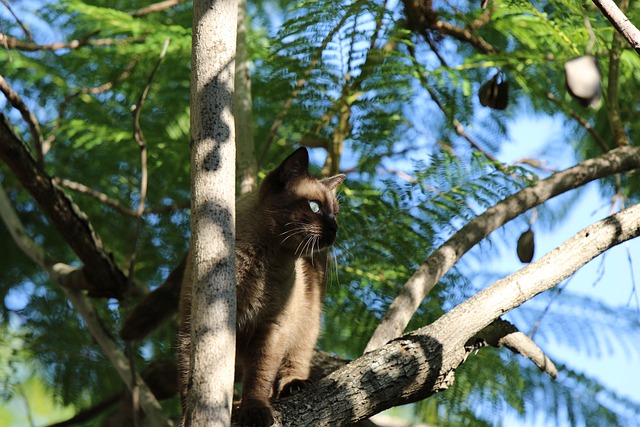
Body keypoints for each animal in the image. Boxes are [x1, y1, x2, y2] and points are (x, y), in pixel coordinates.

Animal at [122, 148, 348, 427]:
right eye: (315, 207)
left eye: (335, 213)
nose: (335, 229)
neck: (263, 264)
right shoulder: (194, 326)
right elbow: (190, 383)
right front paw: (189, 418)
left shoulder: (271, 327)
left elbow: (259, 377)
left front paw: (255, 410)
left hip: (307, 322)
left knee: (294, 360)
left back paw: (292, 387)